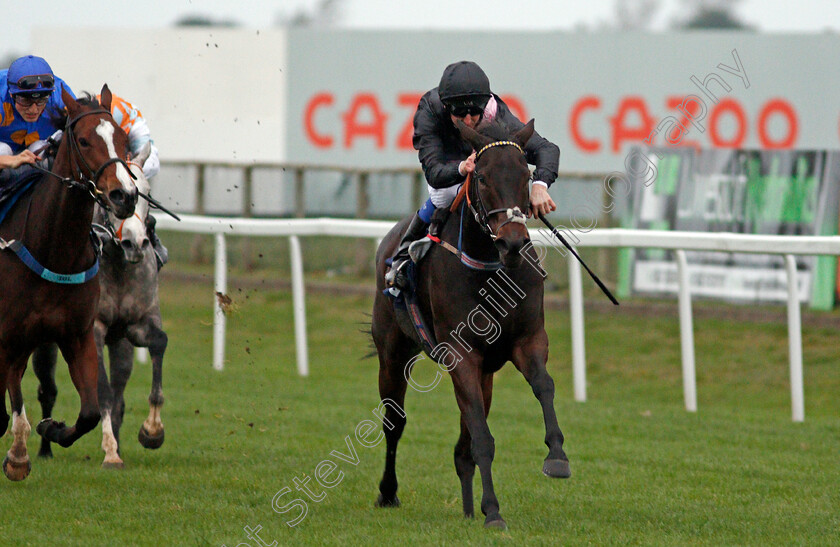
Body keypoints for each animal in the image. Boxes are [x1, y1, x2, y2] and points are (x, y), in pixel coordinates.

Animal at [0, 83, 137, 482]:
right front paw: (20, 452)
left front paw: (52, 429)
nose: (124, 195)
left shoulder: (77, 334)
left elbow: (90, 412)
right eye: (84, 140)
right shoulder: (7, 337)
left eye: (123, 139)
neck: (52, 249)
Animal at [34, 147, 167, 470]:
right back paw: (45, 446)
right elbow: (102, 391)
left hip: (120, 344)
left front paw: (152, 431)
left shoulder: (138, 323)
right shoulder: (93, 330)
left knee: (119, 389)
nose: (135, 243)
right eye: (112, 196)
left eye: (146, 193)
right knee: (47, 389)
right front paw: (110, 451)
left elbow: (159, 343)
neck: (119, 266)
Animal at [372, 117, 572, 528]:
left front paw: (557, 456)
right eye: (480, 176)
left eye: (527, 175)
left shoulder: (527, 340)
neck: (490, 267)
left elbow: (543, 386)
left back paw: (467, 506)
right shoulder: (461, 355)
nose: (513, 243)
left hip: (485, 374)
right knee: (394, 421)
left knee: (463, 442)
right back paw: (388, 492)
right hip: (393, 352)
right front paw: (493, 511)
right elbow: (482, 436)